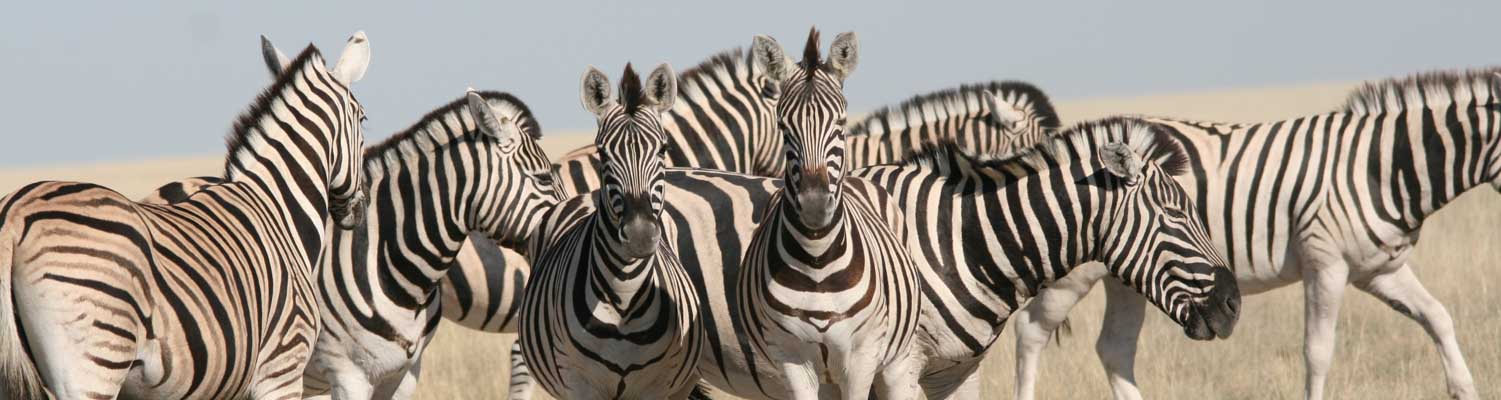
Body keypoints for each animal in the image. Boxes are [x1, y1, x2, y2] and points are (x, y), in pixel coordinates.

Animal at [0, 35, 372, 400]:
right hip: (96, 360)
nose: (360, 208)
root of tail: (15, 214)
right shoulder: (282, 365)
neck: (278, 206)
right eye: (363, 119)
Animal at [516, 63, 702, 396]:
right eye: (602, 154)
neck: (625, 297)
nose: (641, 234)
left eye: (663, 149)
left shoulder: (656, 386)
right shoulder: (579, 383)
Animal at [1008, 68, 1501, 400]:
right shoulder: (1325, 262)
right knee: (1030, 333)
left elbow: (1438, 317)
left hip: (1127, 275)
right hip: (1074, 276)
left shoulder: (1378, 269)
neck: (1380, 166)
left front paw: (1465, 389)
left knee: (1114, 348)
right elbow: (1318, 351)